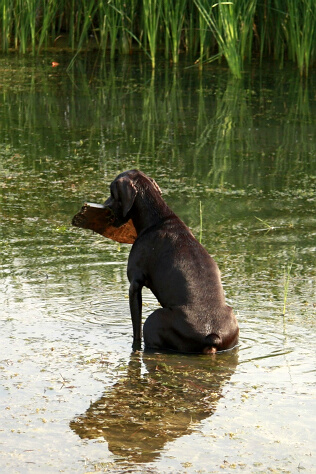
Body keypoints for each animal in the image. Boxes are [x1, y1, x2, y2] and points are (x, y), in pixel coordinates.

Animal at [105, 169, 238, 352]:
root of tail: (212, 337)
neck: (158, 219)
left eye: (112, 192)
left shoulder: (135, 284)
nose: (105, 206)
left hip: (154, 321)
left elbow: (136, 328)